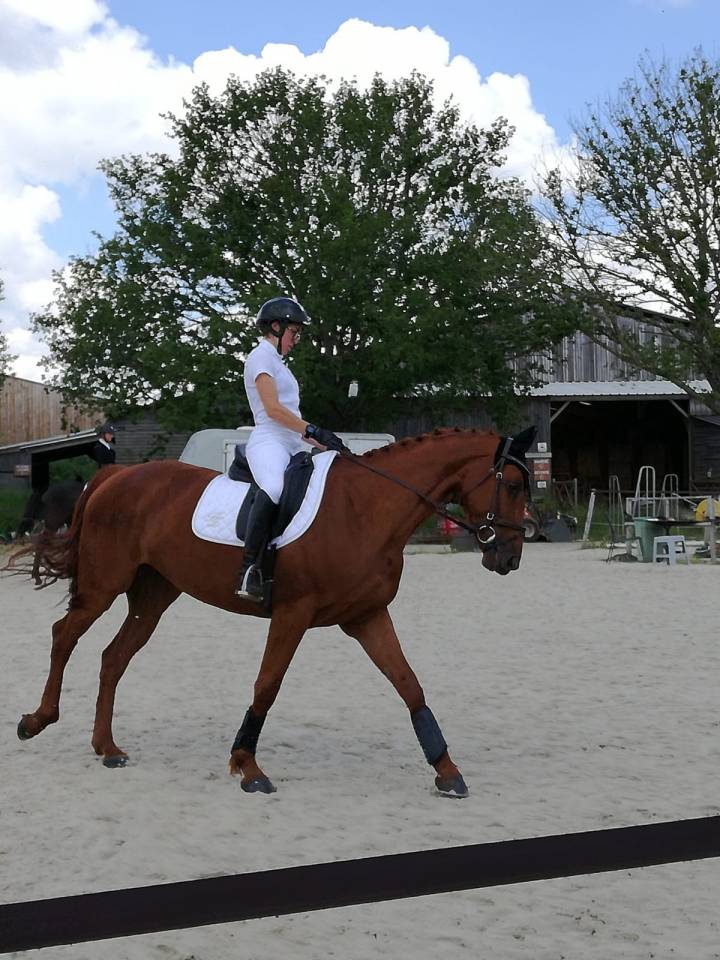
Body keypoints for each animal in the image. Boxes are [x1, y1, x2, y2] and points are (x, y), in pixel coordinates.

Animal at [8, 427, 534, 798]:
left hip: (154, 595)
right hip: (105, 585)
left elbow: (409, 684)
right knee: (64, 634)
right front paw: (248, 766)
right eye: (510, 484)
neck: (365, 510)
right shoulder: (293, 613)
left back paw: (107, 748)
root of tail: (115, 476)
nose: (510, 559)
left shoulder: (367, 616)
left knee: (113, 657)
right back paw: (36, 721)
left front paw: (447, 770)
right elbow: (268, 684)